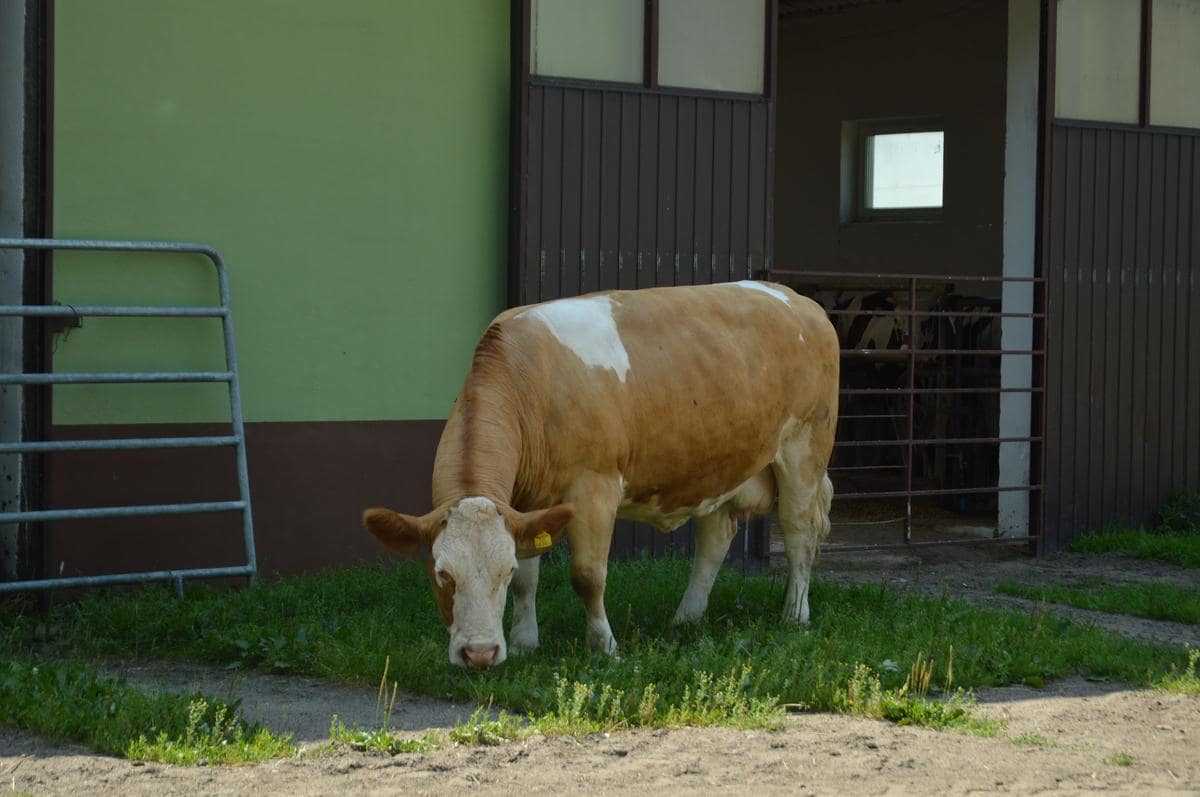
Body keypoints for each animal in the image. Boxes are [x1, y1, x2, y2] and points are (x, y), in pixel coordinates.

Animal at [360, 279, 840, 667]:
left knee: (799, 534)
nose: (479, 654)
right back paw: (685, 619)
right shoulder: (526, 504)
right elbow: (532, 580)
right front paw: (524, 643)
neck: (531, 381)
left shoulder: (595, 488)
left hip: (805, 449)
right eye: (443, 574)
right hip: (715, 465)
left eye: (502, 572)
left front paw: (603, 647)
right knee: (715, 538)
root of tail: (797, 299)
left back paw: (794, 615)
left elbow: (588, 576)